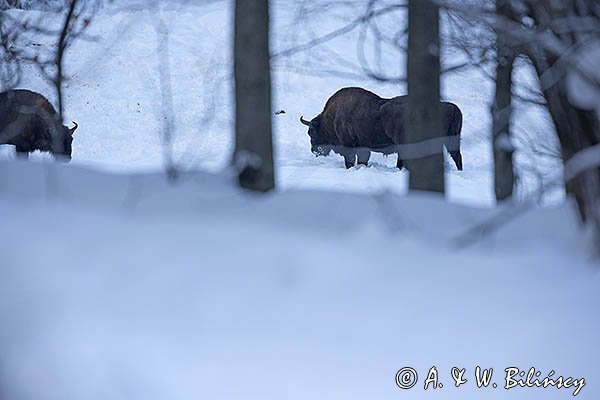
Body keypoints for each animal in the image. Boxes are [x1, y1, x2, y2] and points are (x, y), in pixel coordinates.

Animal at [300, 86, 464, 170]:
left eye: (311, 132)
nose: (315, 150)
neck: (333, 117)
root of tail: (452, 108)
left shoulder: (350, 145)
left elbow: (350, 161)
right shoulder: (363, 148)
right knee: (457, 156)